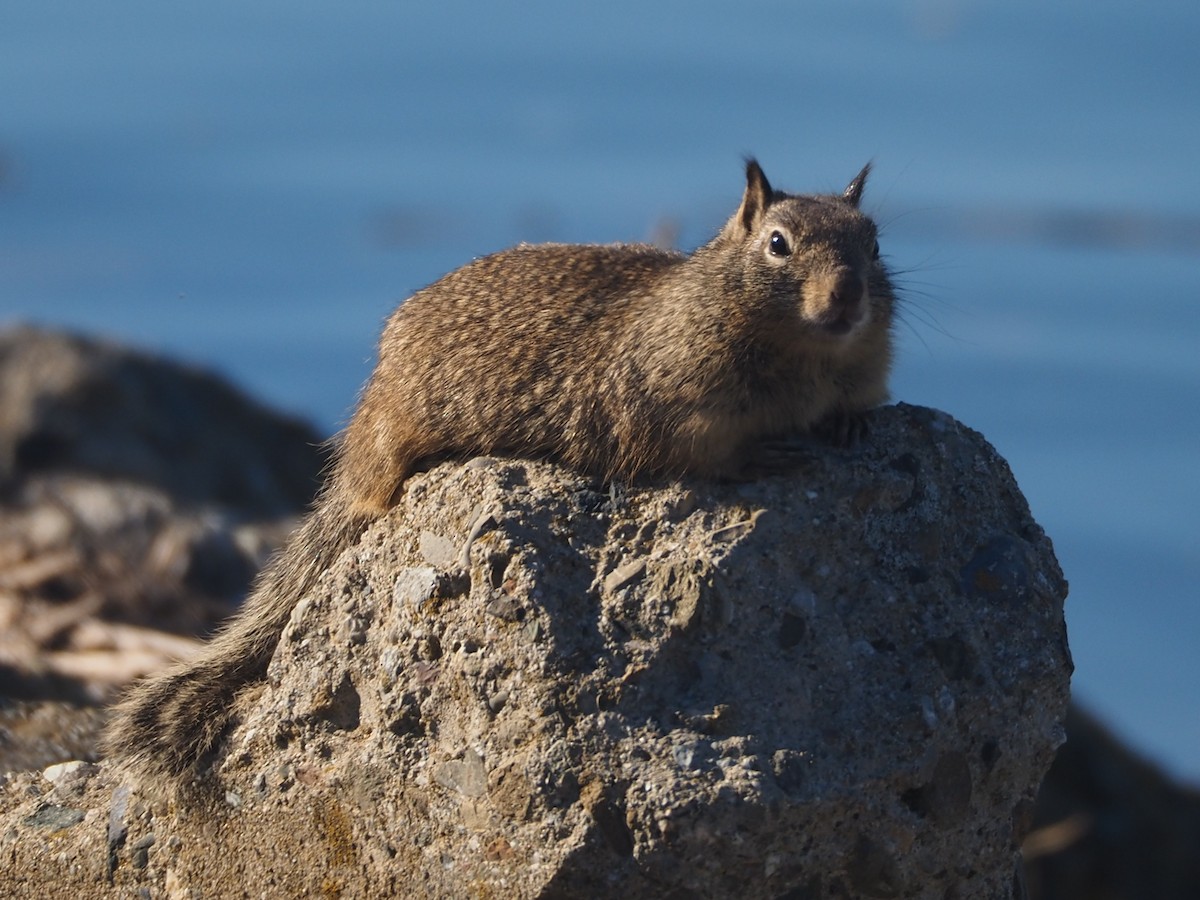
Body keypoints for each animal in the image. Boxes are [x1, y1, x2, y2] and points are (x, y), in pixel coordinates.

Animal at [103, 160, 895, 786]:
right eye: (778, 245)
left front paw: (851, 424)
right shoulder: (666, 404)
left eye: (875, 243)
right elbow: (697, 453)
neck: (803, 360)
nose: (847, 296)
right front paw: (762, 454)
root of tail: (361, 447)